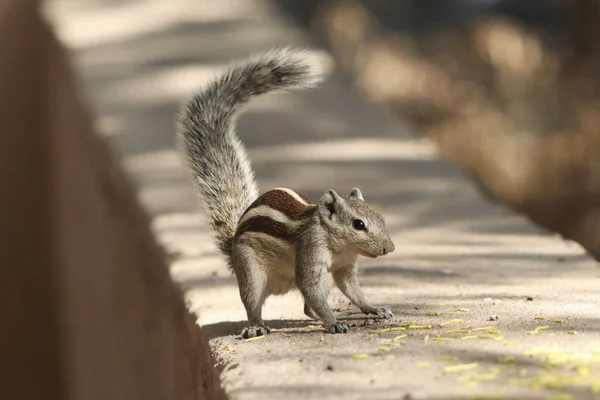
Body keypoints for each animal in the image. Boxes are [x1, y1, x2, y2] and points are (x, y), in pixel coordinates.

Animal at [176, 47, 396, 338]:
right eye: (358, 224)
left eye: (381, 218)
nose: (390, 248)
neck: (338, 245)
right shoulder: (311, 251)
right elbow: (310, 287)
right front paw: (334, 323)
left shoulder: (343, 267)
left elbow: (353, 291)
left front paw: (374, 308)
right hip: (251, 272)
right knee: (254, 305)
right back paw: (256, 327)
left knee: (307, 308)